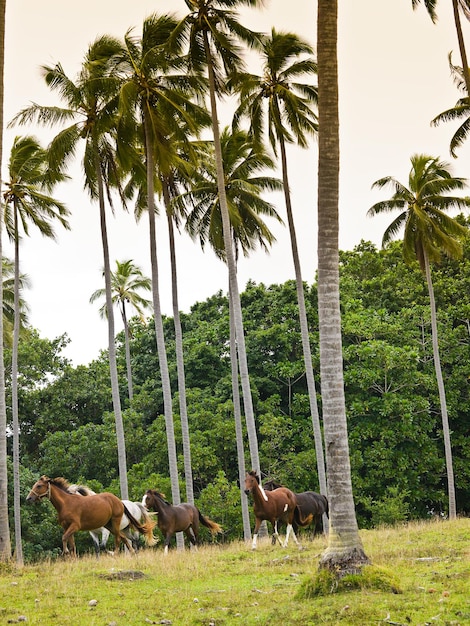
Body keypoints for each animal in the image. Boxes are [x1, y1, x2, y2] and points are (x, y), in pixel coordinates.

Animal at [26, 472, 157, 556]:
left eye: (39, 486)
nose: (29, 498)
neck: (66, 504)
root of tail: (119, 501)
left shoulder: (75, 526)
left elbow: (64, 538)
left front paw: (65, 552)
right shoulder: (67, 527)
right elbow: (72, 544)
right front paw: (71, 559)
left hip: (115, 523)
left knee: (120, 539)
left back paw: (115, 553)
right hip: (110, 525)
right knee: (124, 538)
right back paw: (131, 553)